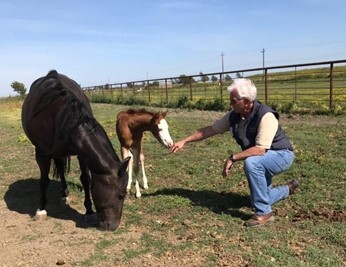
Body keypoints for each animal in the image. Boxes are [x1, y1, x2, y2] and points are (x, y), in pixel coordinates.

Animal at [21, 70, 130, 231]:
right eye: (121, 195)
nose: (113, 226)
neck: (61, 115)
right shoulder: (41, 153)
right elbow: (44, 181)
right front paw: (41, 209)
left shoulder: (81, 153)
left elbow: (85, 179)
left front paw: (89, 211)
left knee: (61, 168)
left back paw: (65, 194)